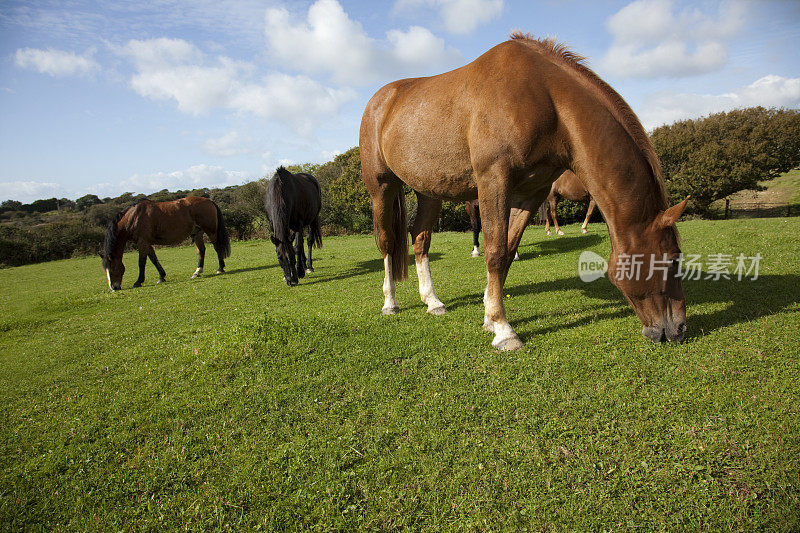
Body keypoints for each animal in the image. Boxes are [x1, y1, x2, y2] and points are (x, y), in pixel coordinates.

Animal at [101, 195, 230, 288]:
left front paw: (138, 282)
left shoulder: (142, 242)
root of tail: (209, 200)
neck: (133, 217)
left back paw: (220, 269)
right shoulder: (147, 243)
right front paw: (161, 277)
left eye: (113, 268)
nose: (114, 288)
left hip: (211, 231)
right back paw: (197, 272)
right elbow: (154, 259)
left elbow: (141, 262)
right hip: (197, 233)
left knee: (217, 247)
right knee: (201, 251)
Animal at [360, 33, 692, 350]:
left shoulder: (531, 193)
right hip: (382, 188)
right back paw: (390, 302)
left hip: (429, 192)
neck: (547, 101)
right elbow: (494, 253)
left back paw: (433, 301)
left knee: (420, 239)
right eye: (672, 258)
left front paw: (489, 318)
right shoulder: (493, 180)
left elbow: (507, 252)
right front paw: (504, 332)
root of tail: (381, 100)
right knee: (387, 242)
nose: (678, 329)